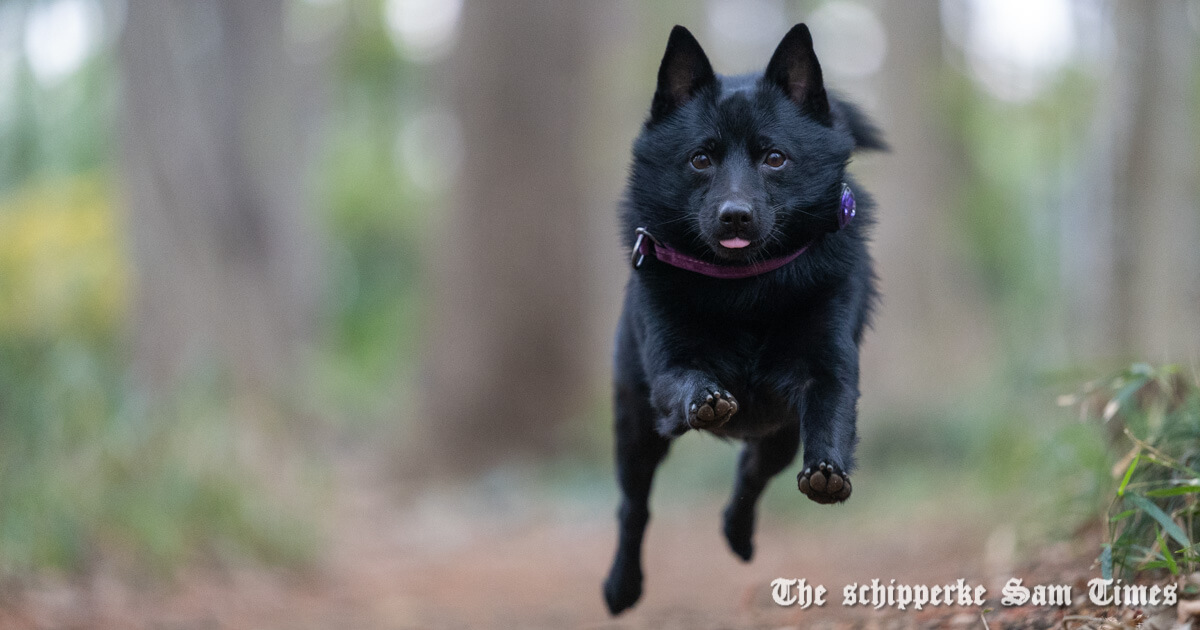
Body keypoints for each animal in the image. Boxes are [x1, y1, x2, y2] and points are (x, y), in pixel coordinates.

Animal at [604, 25, 888, 614]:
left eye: (774, 158)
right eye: (700, 159)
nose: (735, 216)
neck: (745, 291)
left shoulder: (827, 371)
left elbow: (830, 415)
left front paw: (828, 472)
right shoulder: (667, 372)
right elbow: (689, 379)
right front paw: (706, 398)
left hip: (778, 435)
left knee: (751, 473)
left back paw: (737, 535)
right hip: (635, 428)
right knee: (633, 507)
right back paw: (622, 587)